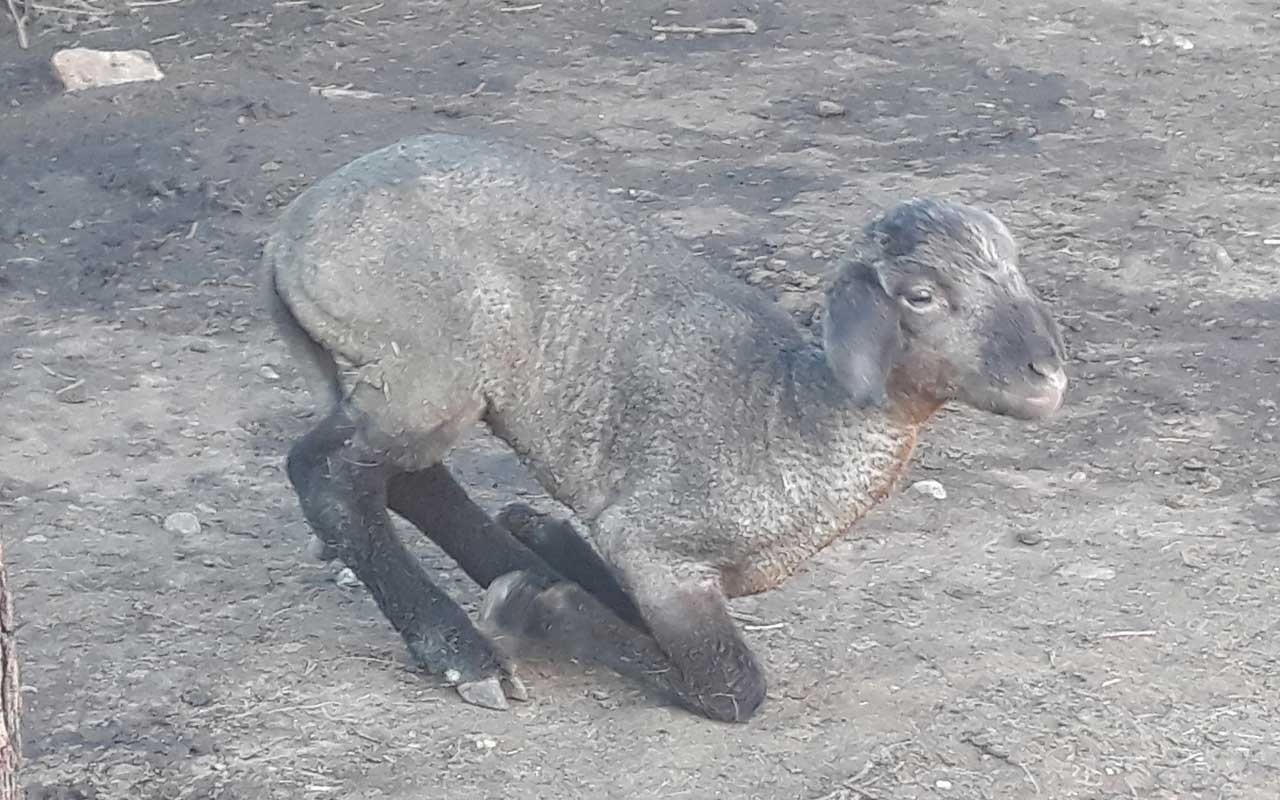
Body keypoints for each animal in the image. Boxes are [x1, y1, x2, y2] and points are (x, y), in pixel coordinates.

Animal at [262, 132, 1070, 721]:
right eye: (921, 295)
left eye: (1016, 271)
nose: (1048, 373)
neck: (790, 411)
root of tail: (289, 235)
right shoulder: (657, 546)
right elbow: (730, 686)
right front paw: (541, 605)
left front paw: (546, 547)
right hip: (429, 364)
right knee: (327, 472)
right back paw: (464, 652)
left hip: (421, 384)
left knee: (403, 478)